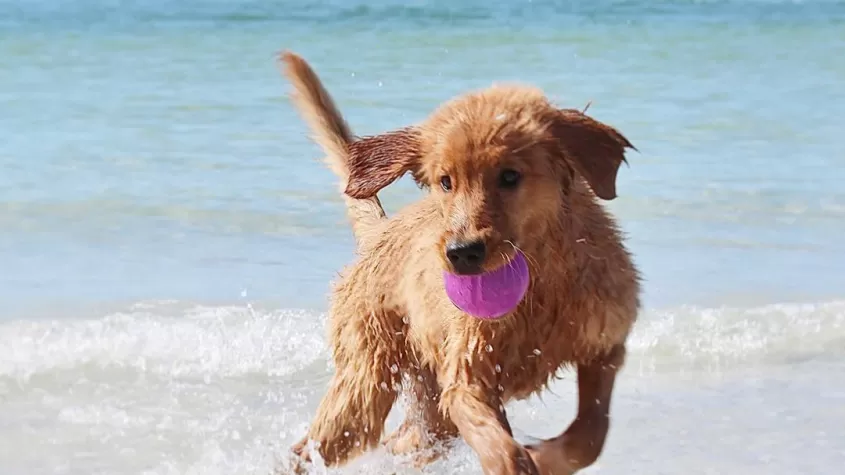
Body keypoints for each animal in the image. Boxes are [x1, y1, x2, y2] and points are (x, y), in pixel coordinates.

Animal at [276, 52, 640, 475]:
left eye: (510, 176)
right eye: (445, 181)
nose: (462, 253)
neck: (540, 285)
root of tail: (380, 233)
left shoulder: (605, 348)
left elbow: (591, 434)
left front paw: (545, 456)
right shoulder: (467, 377)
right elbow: (501, 449)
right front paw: (522, 459)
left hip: (430, 412)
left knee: (404, 440)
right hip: (365, 383)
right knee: (309, 447)